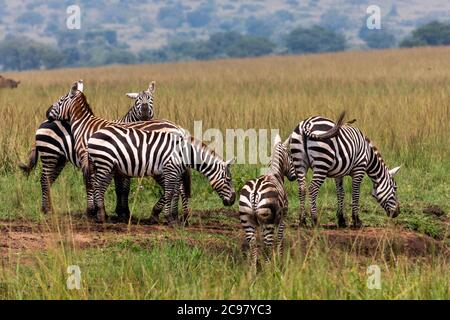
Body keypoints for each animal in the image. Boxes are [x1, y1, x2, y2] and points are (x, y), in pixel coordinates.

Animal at [18, 81, 156, 216]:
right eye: (137, 100)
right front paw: (114, 211)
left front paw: (122, 211)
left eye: (151, 99)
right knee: (44, 179)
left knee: (49, 180)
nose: (145, 111)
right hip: (50, 154)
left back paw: (49, 208)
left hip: (59, 159)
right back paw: (45, 209)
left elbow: (124, 189)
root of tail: (44, 122)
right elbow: (115, 187)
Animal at [84, 125, 236, 222]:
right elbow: (169, 193)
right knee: (97, 186)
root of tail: (93, 135)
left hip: (108, 166)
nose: (233, 200)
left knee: (100, 186)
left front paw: (170, 217)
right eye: (228, 180)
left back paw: (101, 214)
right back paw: (101, 216)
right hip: (104, 163)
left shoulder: (176, 172)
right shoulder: (170, 170)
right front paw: (169, 218)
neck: (185, 153)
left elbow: (175, 192)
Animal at [237, 134, 298, 268]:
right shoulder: (282, 218)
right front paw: (280, 261)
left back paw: (253, 269)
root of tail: (255, 190)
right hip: (268, 221)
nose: (294, 177)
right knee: (267, 244)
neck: (274, 173)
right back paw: (268, 268)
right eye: (291, 157)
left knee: (253, 244)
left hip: (247, 219)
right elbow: (280, 238)